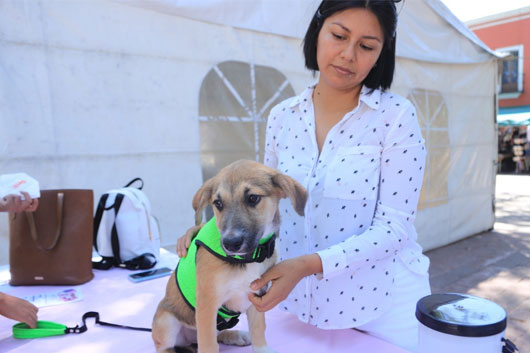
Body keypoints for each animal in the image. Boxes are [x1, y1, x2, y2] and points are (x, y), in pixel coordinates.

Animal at [151, 160, 306, 352]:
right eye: (218, 203)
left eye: (253, 198)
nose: (230, 243)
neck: (249, 257)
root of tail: (189, 342)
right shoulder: (207, 303)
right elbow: (209, 344)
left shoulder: (256, 294)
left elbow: (258, 328)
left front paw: (261, 348)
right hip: (166, 320)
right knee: (165, 346)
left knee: (217, 335)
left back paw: (235, 335)